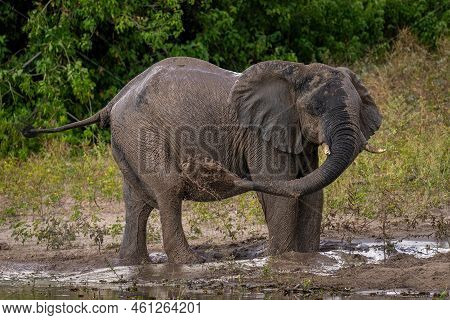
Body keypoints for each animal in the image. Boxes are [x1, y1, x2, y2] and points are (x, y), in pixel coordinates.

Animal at [23, 57, 384, 264]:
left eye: (357, 108)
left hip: (127, 137)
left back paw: (134, 265)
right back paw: (190, 262)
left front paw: (309, 258)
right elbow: (280, 187)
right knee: (167, 189)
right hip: (142, 131)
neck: (297, 72)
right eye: (313, 109)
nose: (210, 168)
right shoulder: (260, 131)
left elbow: (311, 190)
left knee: (137, 201)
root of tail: (113, 101)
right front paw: (281, 260)